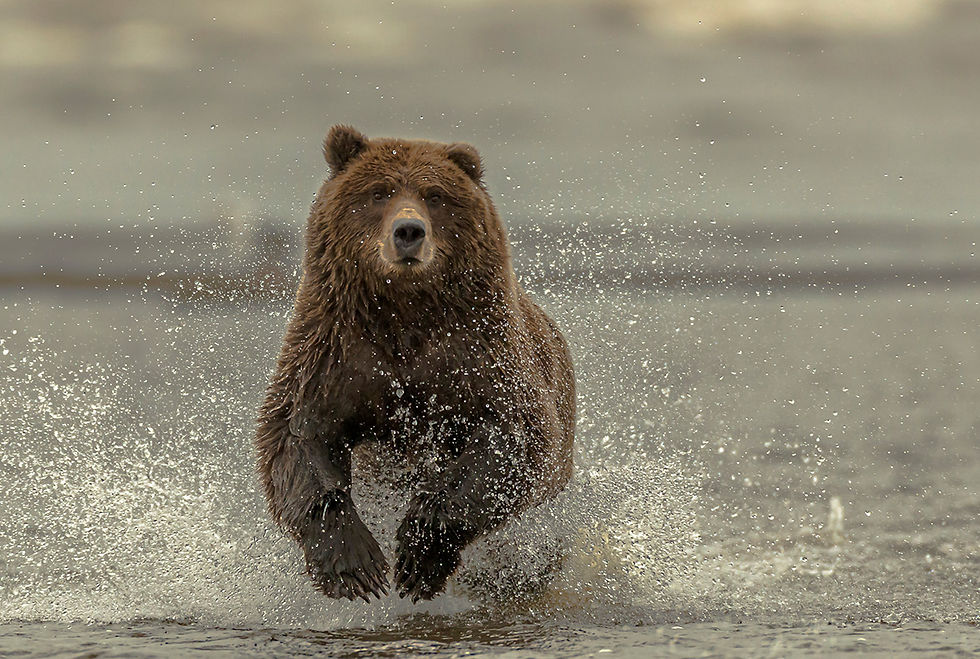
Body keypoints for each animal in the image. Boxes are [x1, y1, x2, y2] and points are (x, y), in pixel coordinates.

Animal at [255, 125, 575, 602]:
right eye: (378, 191)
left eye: (435, 194)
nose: (409, 231)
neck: (405, 309)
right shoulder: (334, 353)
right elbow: (296, 437)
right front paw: (355, 568)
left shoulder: (478, 353)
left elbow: (510, 437)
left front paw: (419, 553)